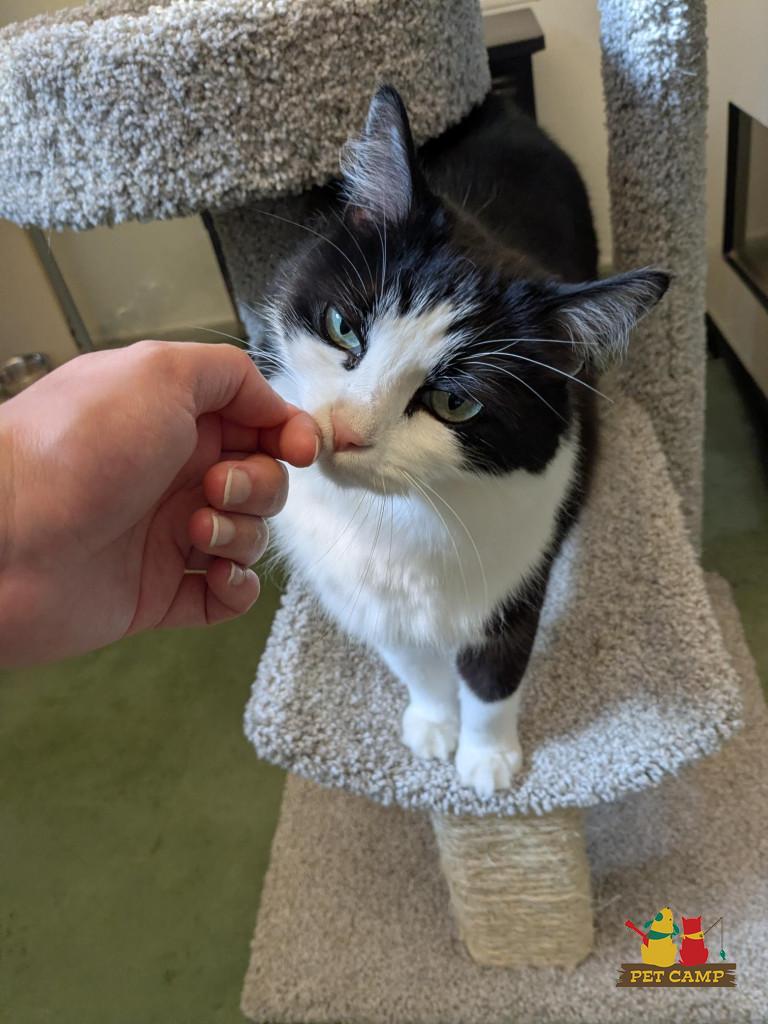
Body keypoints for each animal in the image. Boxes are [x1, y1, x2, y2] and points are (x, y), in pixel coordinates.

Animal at [255, 86, 669, 796]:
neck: (403, 511)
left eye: (455, 402)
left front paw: (487, 756)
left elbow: (497, 665)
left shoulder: (526, 544)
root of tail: (496, 104)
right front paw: (433, 722)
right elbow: (409, 656)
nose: (345, 430)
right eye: (343, 327)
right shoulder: (361, 587)